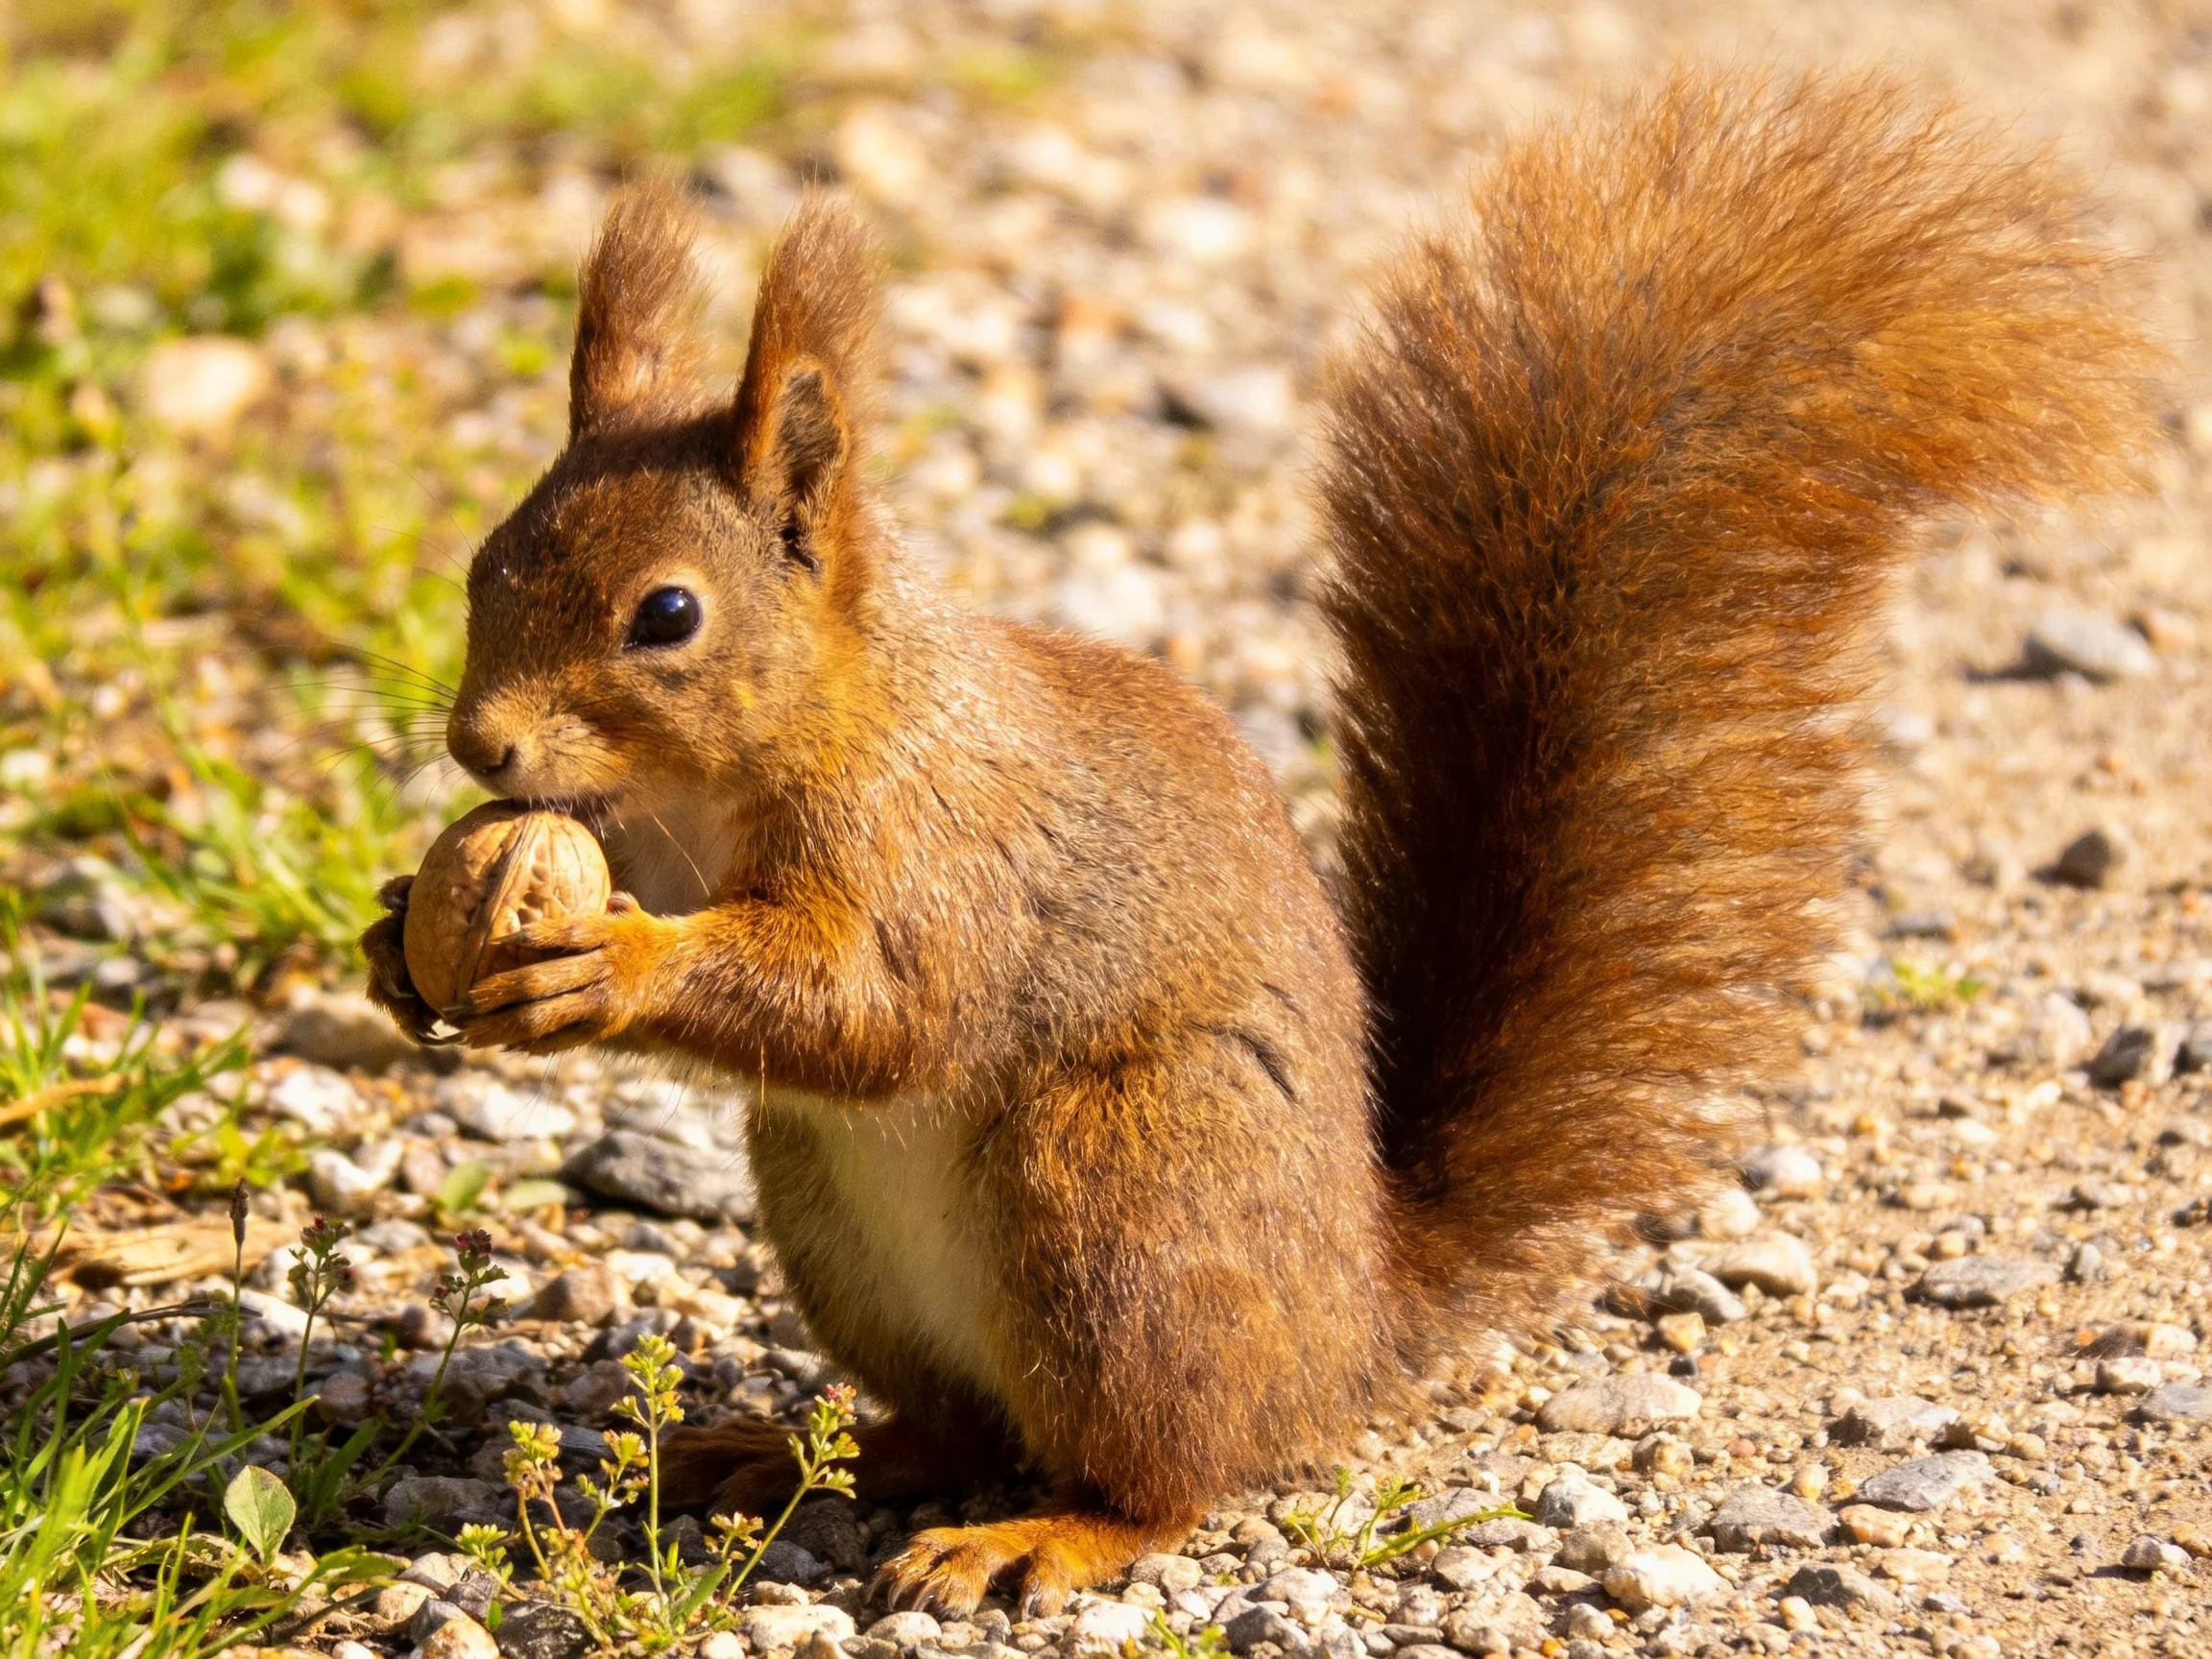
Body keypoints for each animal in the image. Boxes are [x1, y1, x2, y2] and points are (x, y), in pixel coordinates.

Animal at [363, 72, 2157, 1614]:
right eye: (484, 557)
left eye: (666, 615)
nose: (480, 746)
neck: (729, 777)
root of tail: (1349, 1324)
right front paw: (398, 936)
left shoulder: (946, 852)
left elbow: (878, 1007)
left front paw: (607, 959)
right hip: (832, 1213)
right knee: (951, 1424)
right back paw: (789, 1455)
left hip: (1118, 1194)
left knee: (1163, 1474)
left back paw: (1037, 1536)